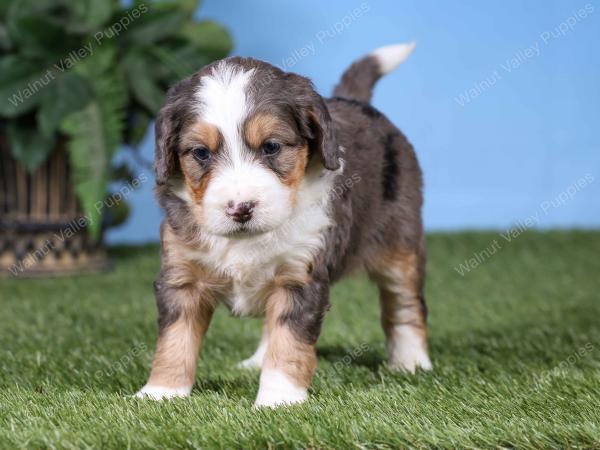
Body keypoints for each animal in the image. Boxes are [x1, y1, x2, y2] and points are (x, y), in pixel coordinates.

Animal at [137, 43, 432, 408]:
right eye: (201, 153)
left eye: (272, 147)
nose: (240, 208)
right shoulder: (182, 275)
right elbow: (175, 339)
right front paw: (160, 393)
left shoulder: (299, 275)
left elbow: (289, 342)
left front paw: (278, 400)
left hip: (400, 244)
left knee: (406, 305)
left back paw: (412, 363)